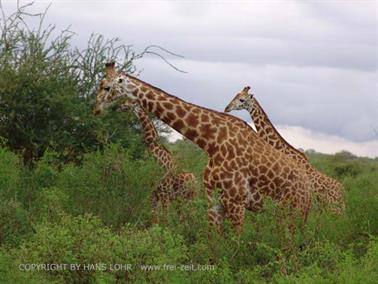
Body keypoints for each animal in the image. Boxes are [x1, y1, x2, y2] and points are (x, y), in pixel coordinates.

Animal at [93, 63, 312, 234]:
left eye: (106, 87)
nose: (96, 110)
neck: (212, 142)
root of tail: (307, 185)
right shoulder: (213, 201)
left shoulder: (236, 202)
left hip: (294, 211)